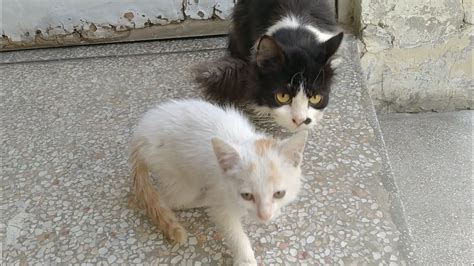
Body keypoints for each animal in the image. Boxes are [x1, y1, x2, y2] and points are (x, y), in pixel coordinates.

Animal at [130, 99, 308, 264]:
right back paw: (201, 200)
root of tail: (140, 135)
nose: (264, 216)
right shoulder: (220, 194)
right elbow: (231, 228)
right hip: (179, 176)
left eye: (279, 194)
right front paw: (245, 258)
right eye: (247, 195)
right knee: (170, 200)